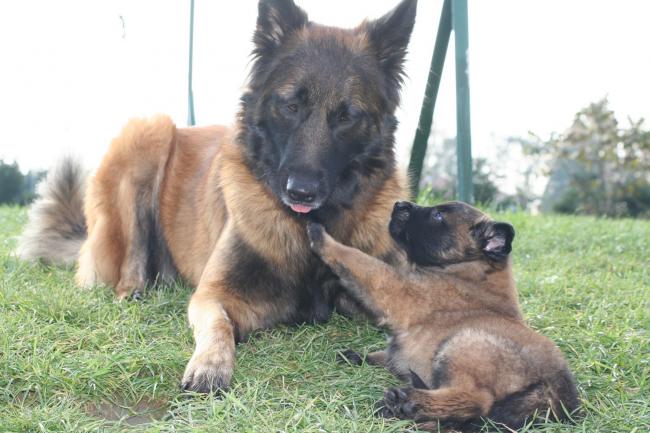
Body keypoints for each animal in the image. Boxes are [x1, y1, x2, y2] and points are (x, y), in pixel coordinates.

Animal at [20, 0, 418, 392]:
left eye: (346, 116)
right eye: (291, 105)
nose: (302, 191)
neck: (309, 227)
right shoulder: (213, 295)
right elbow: (219, 325)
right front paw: (209, 366)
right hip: (148, 133)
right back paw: (133, 291)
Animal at [306, 202, 580, 432]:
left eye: (437, 215)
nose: (399, 204)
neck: (465, 271)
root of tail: (555, 389)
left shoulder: (395, 288)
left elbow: (357, 260)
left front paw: (319, 235)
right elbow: (390, 354)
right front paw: (360, 356)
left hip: (462, 344)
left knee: (476, 400)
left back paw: (407, 403)